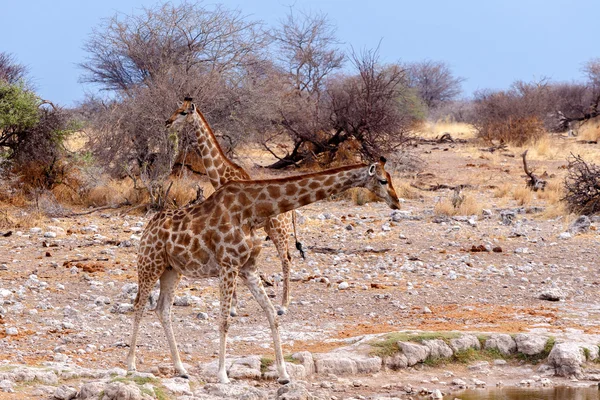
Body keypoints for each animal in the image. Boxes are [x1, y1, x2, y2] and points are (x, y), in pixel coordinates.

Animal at [125, 158, 400, 382]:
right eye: (383, 180)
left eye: (389, 178)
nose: (397, 202)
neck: (254, 211)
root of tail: (148, 228)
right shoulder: (228, 265)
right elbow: (225, 320)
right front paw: (223, 375)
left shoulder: (248, 268)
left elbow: (271, 314)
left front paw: (284, 374)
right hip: (149, 263)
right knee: (139, 305)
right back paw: (131, 366)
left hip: (172, 269)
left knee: (162, 309)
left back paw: (181, 369)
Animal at [166, 97, 302, 316]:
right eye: (176, 109)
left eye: (183, 113)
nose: (167, 123)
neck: (222, 176)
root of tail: (293, 211)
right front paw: (233, 306)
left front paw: (232, 308)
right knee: (288, 257)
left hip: (278, 228)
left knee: (286, 259)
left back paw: (283, 306)